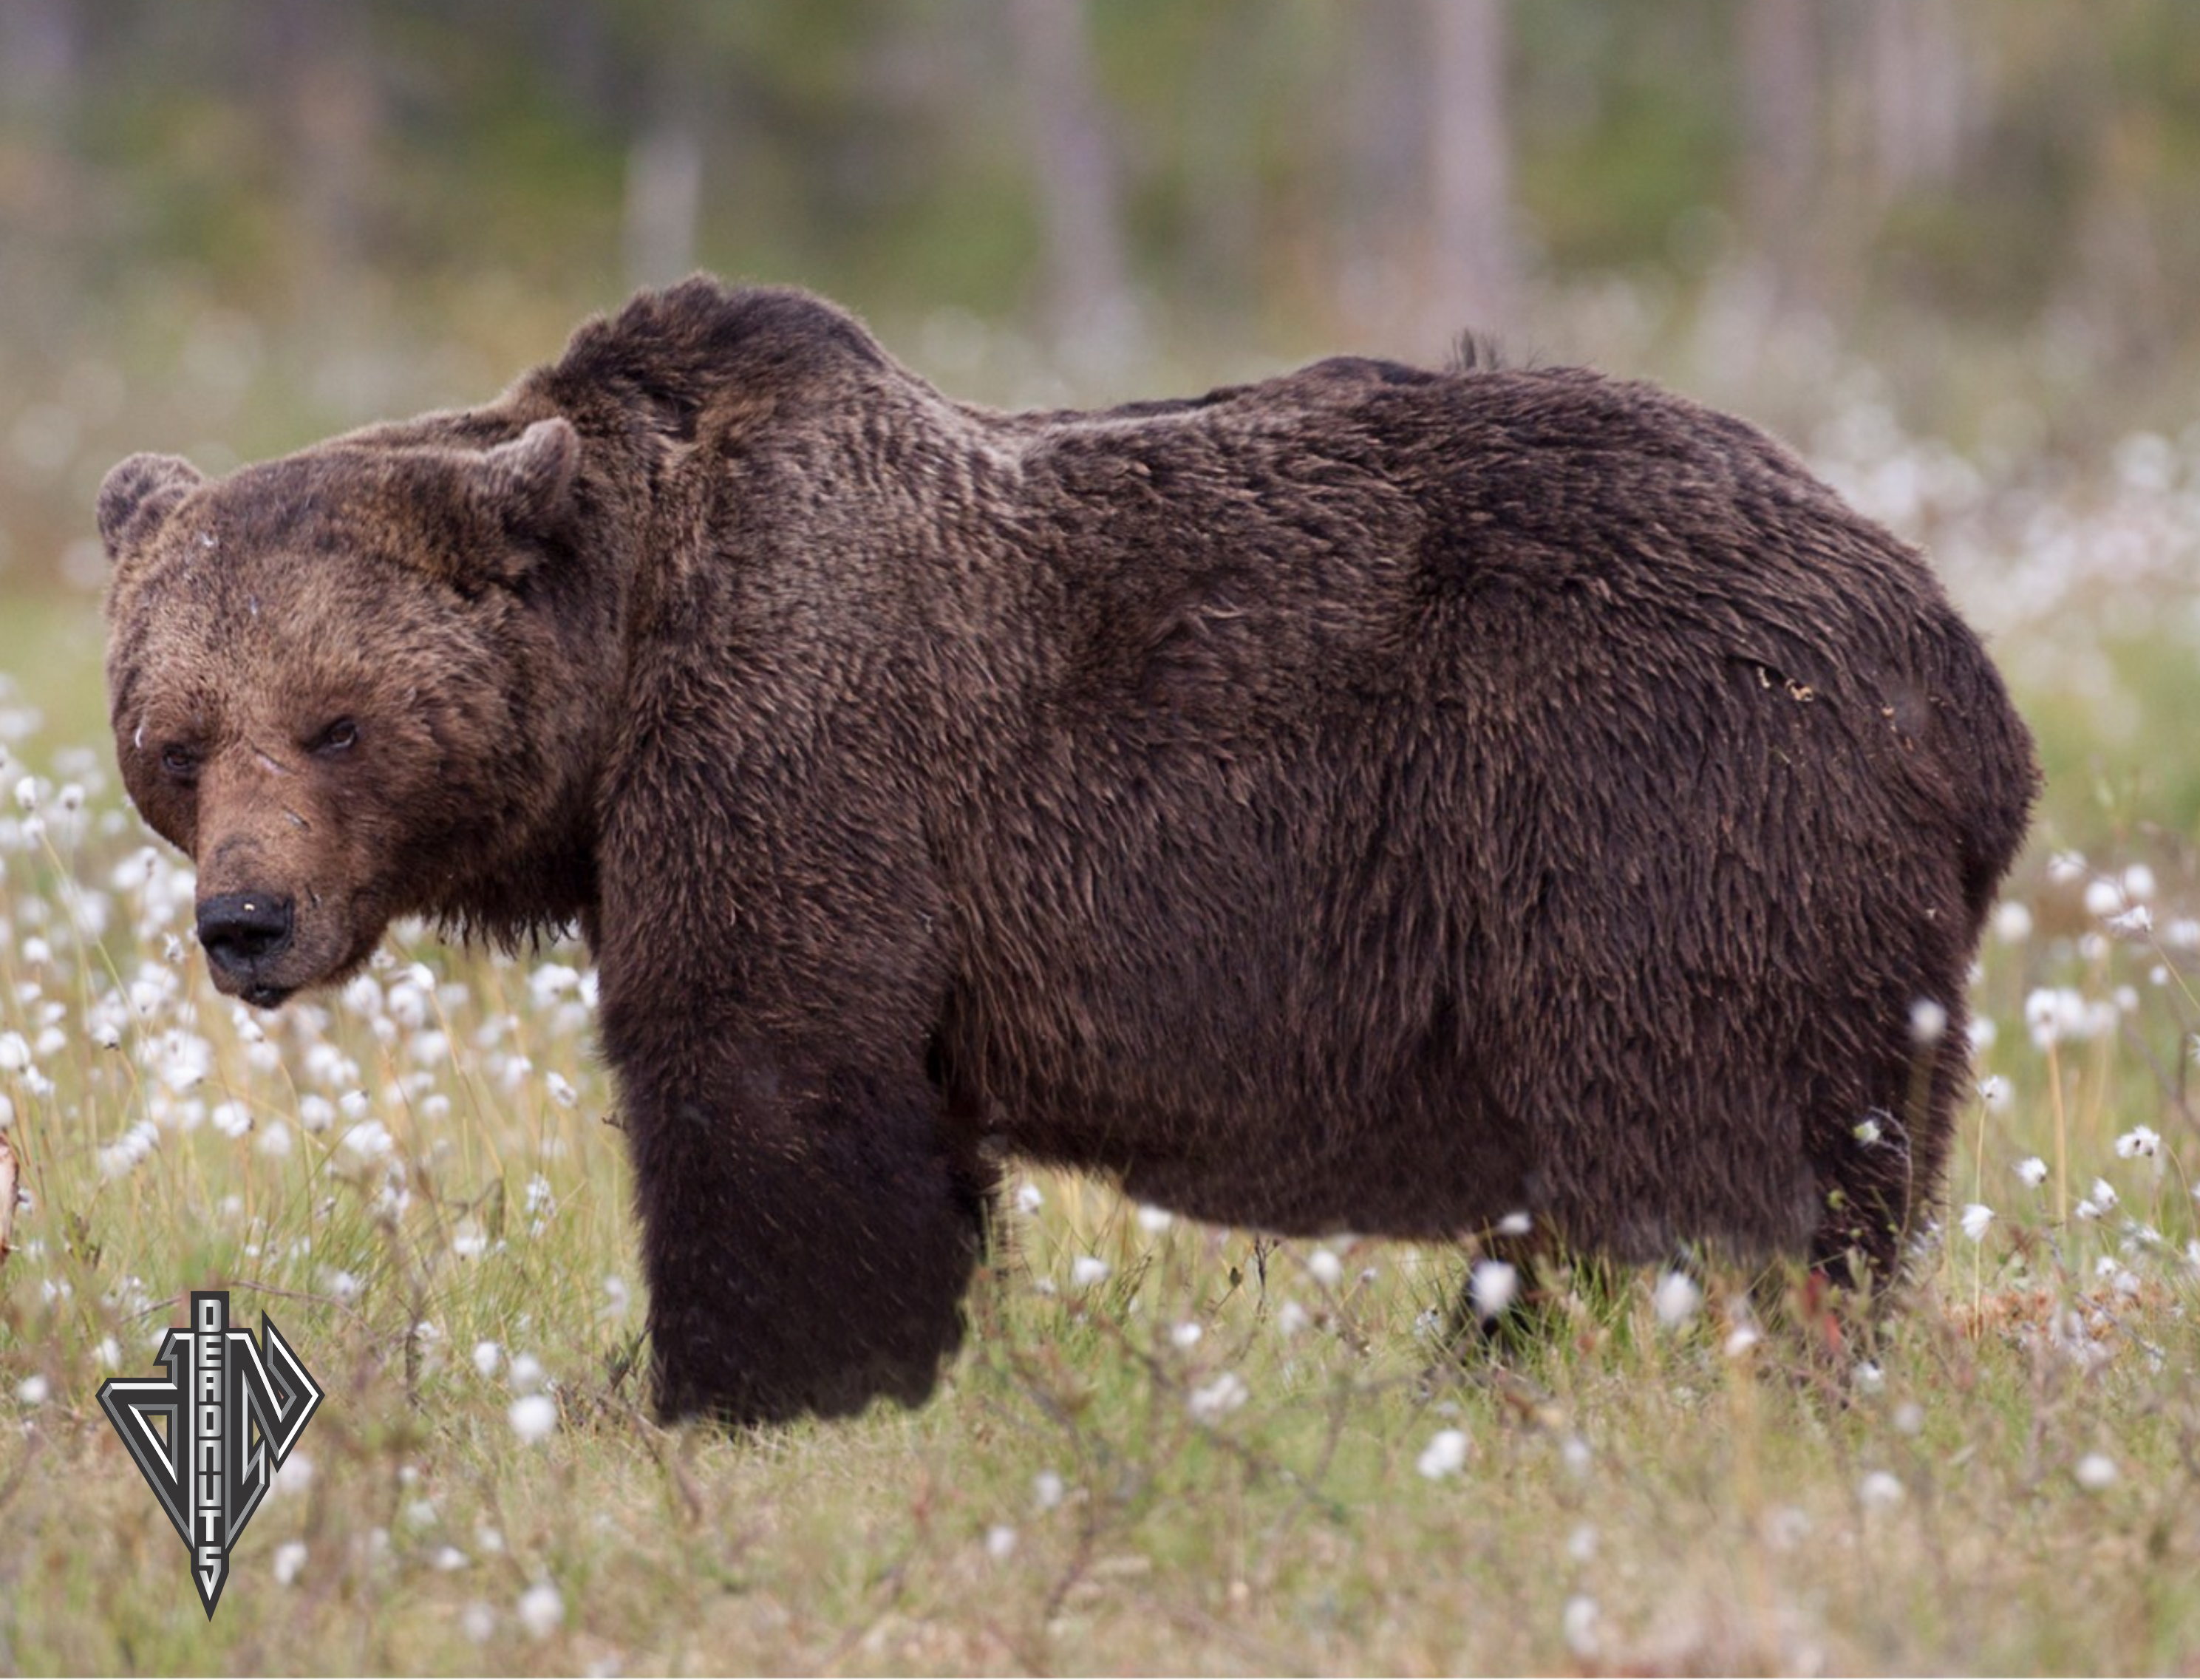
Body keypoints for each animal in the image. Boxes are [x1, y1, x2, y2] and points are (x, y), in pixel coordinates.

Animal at [98, 281, 2023, 1424]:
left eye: (337, 723)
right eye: (175, 740)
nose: (247, 919)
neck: (626, 655)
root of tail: (1958, 657)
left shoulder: (801, 751)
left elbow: (763, 1086)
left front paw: (738, 1386)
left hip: (1657, 802)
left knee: (1709, 1164)